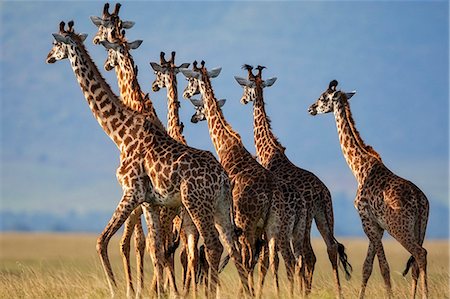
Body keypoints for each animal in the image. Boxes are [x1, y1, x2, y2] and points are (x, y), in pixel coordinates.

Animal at [46, 21, 251, 299]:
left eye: (56, 43)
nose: (48, 57)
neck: (119, 133)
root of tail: (222, 178)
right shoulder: (150, 201)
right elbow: (156, 250)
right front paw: (162, 292)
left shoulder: (131, 191)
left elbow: (103, 240)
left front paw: (115, 289)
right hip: (219, 206)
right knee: (232, 247)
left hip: (196, 203)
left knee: (212, 247)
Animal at [236, 64, 352, 298]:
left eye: (245, 87)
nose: (242, 100)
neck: (268, 149)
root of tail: (321, 191)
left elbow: (266, 259)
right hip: (325, 215)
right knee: (329, 249)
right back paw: (335, 292)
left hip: (305, 221)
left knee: (306, 256)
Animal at [310, 79, 428, 299]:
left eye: (322, 97)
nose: (310, 108)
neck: (358, 168)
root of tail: (420, 200)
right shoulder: (377, 226)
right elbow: (367, 267)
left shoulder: (366, 220)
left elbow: (383, 267)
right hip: (420, 227)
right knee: (416, 263)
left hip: (399, 227)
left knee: (420, 253)